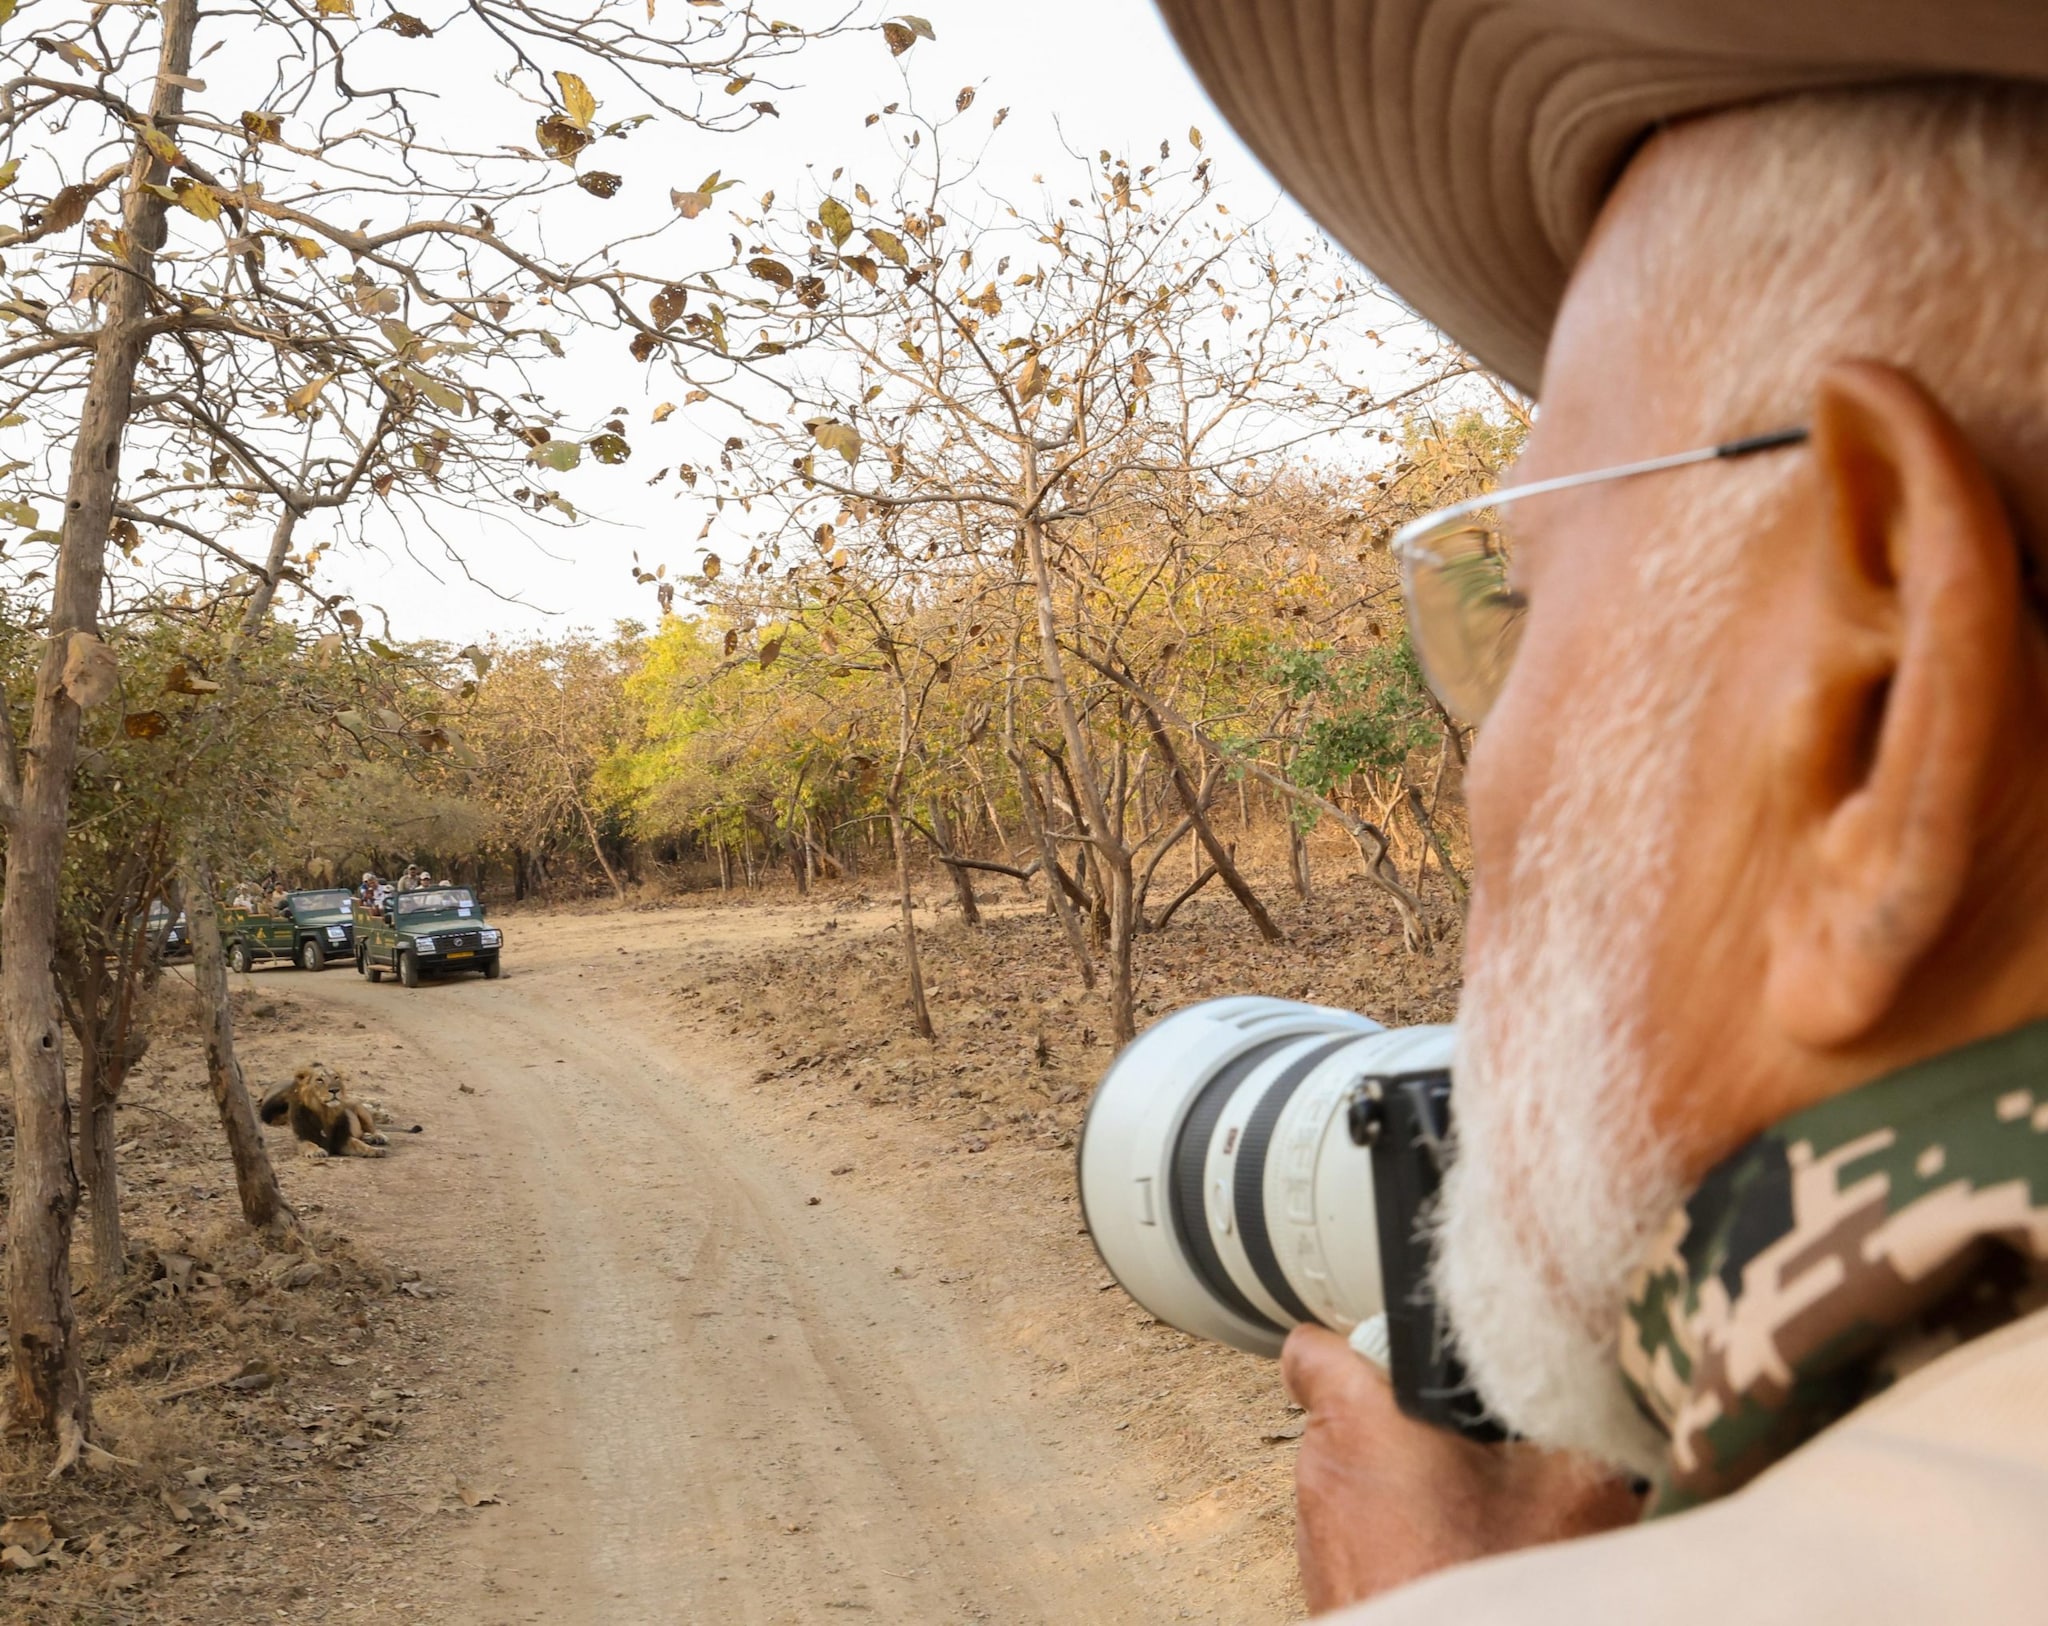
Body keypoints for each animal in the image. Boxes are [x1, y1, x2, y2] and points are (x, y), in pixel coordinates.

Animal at [260, 1056, 419, 1163]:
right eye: (319, 1080)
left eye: (336, 1077)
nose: (335, 1090)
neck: (324, 1112)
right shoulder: (302, 1138)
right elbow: (309, 1144)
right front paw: (317, 1151)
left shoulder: (342, 1139)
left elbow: (359, 1144)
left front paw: (374, 1150)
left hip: (361, 1111)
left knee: (372, 1128)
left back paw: (377, 1137)